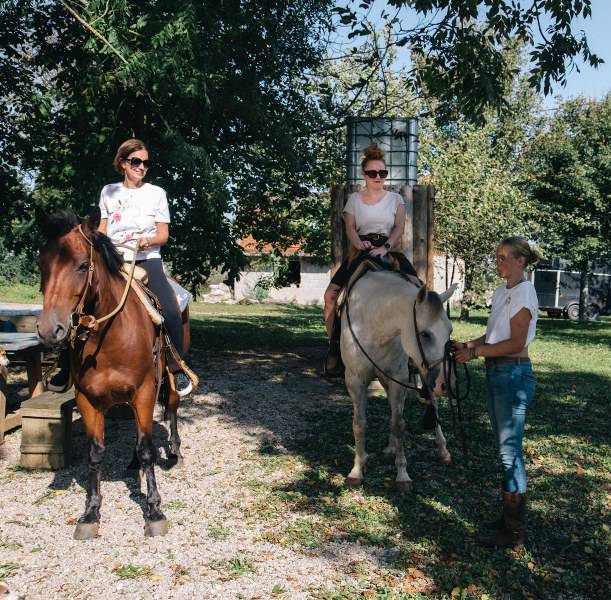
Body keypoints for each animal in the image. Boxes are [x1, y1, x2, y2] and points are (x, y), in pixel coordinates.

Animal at [36, 207, 189, 540]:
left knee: (171, 406)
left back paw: (174, 451)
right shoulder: (87, 400)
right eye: (42, 264)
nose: (49, 329)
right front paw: (90, 514)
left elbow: (148, 450)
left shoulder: (145, 390)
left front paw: (154, 511)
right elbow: (95, 453)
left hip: (168, 376)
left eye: (83, 265)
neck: (109, 337)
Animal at [342, 268, 456, 492]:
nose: (446, 384)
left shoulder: (398, 379)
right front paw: (357, 470)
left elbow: (398, 424)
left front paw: (402, 474)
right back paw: (390, 447)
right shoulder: (355, 381)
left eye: (450, 331)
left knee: (432, 404)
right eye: (425, 334)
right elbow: (359, 423)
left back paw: (442, 449)